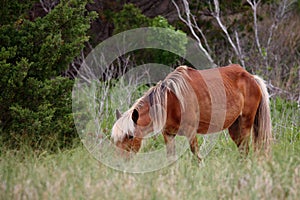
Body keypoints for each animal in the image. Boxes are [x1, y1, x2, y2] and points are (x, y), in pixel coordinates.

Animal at [110, 65, 272, 160]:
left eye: (130, 136)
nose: (119, 162)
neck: (171, 101)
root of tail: (251, 77)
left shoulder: (191, 132)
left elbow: (196, 155)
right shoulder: (168, 134)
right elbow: (171, 157)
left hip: (245, 123)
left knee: (245, 148)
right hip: (234, 126)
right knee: (242, 149)